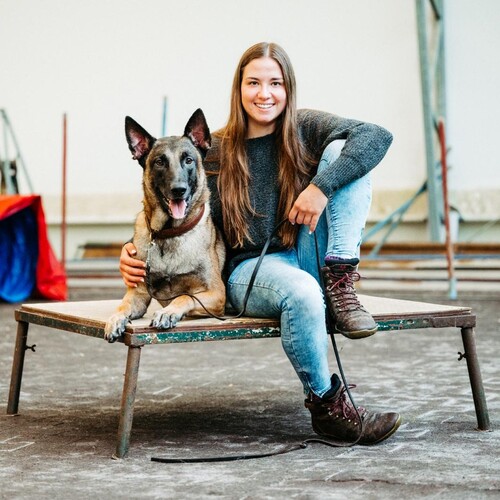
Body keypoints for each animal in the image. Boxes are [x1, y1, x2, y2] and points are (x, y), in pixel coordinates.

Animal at [105, 108, 227, 344]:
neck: (170, 232)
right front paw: (115, 318)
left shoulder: (216, 294)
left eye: (188, 160)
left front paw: (168, 312)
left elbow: (184, 296)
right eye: (159, 162)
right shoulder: (138, 294)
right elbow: (123, 306)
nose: (178, 190)